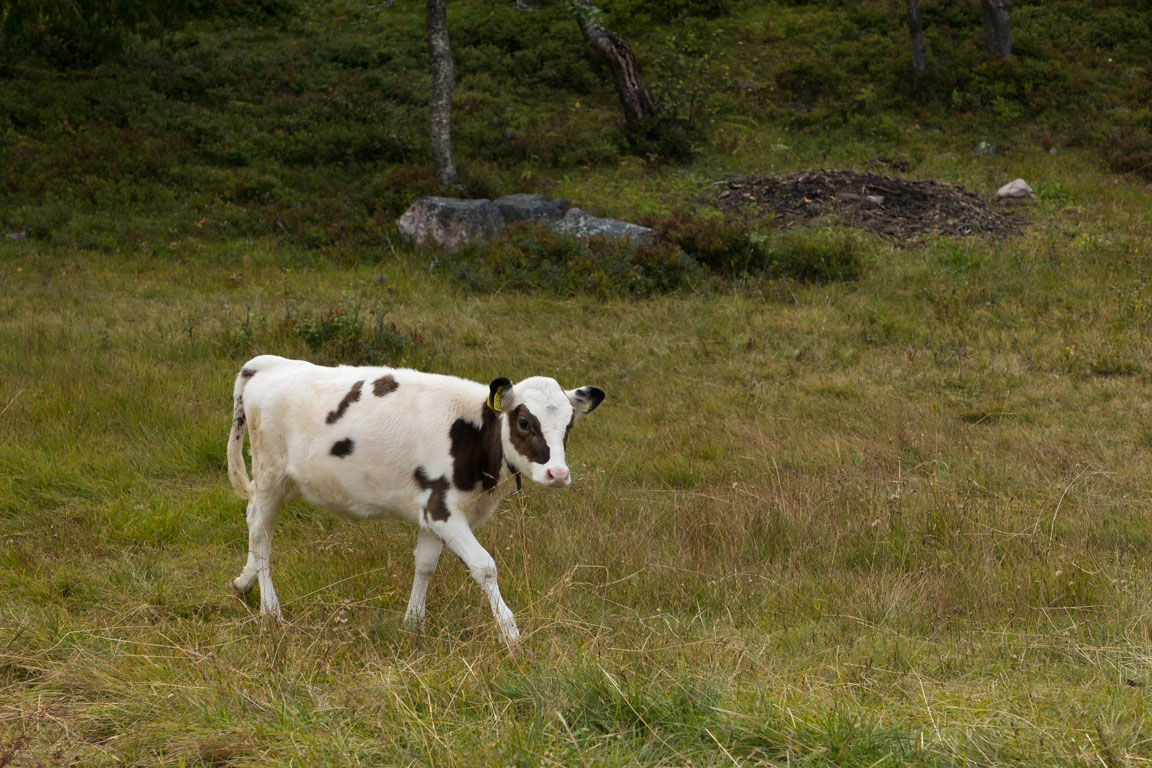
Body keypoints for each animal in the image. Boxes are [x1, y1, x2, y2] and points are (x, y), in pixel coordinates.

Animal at [223, 356, 603, 644]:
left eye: (569, 425)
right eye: (524, 422)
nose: (558, 474)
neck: (473, 434)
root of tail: (270, 363)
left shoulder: (430, 512)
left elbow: (425, 565)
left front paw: (413, 622)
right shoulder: (442, 508)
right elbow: (484, 566)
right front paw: (510, 633)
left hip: (283, 480)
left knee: (252, 517)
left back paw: (244, 582)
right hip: (271, 473)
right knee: (262, 534)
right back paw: (270, 610)